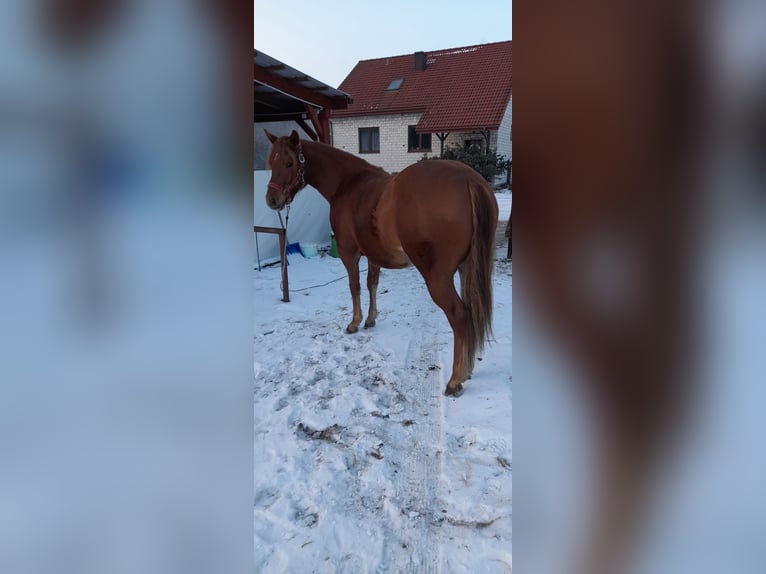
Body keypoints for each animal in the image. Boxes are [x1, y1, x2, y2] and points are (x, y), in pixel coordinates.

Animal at [264, 130, 499, 396]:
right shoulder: (373, 255)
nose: (272, 200)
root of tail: (469, 180)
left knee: (460, 316)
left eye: (289, 163)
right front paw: (370, 319)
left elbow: (355, 286)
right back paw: (467, 370)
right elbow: (372, 284)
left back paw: (455, 379)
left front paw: (354, 323)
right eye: (271, 163)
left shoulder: (349, 253)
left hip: (438, 278)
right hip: (467, 269)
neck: (348, 184)